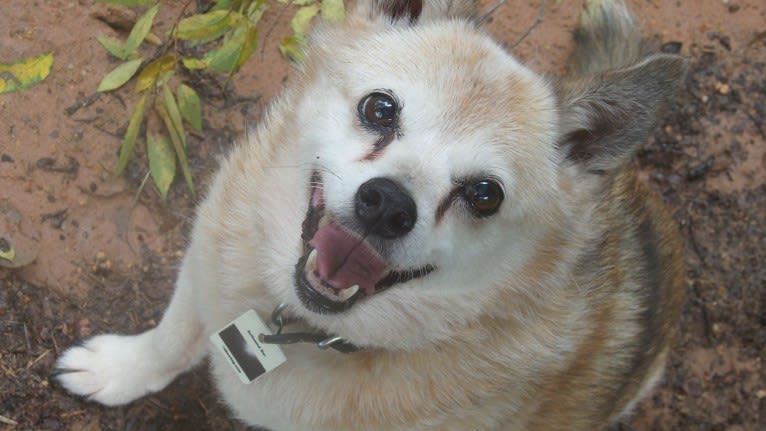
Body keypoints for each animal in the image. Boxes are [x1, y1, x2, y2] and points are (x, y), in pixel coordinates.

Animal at [57, 0, 688, 428]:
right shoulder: (203, 266)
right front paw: (119, 370)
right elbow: (170, 338)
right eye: (379, 109)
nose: (387, 205)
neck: (301, 325)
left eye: (486, 194)